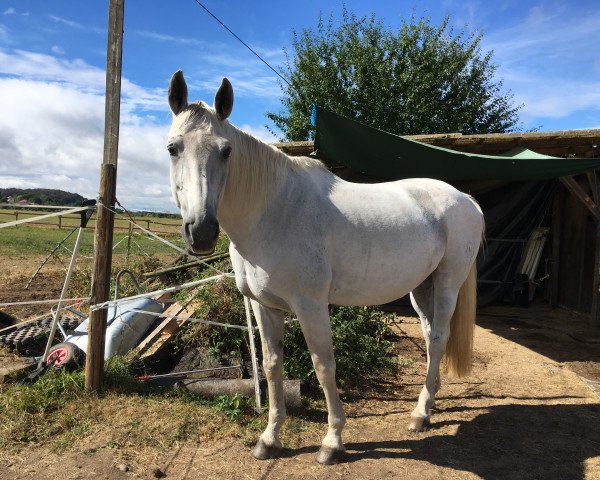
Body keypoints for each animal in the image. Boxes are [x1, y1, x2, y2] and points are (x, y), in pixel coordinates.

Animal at [166, 71, 486, 464]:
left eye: (226, 151)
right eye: (173, 148)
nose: (200, 231)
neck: (274, 212)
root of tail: (466, 199)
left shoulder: (311, 305)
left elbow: (323, 366)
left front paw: (332, 442)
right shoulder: (263, 305)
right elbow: (271, 366)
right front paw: (269, 439)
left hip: (447, 283)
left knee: (439, 338)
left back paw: (420, 415)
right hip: (421, 287)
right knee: (429, 340)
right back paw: (429, 404)